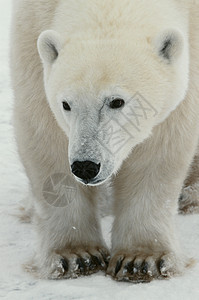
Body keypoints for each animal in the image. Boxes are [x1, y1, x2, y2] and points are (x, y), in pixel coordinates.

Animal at [10, 0, 199, 282]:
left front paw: (141, 259)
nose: (86, 166)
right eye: (66, 104)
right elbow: (45, 135)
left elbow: (161, 146)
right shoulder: (31, 29)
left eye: (117, 102)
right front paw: (76, 255)